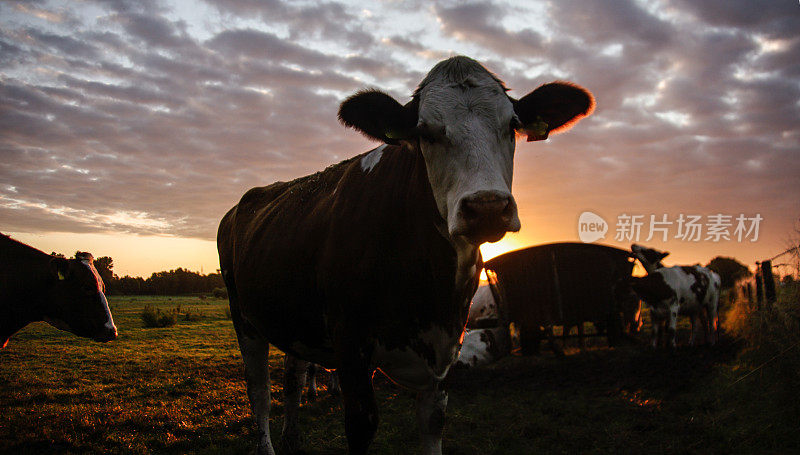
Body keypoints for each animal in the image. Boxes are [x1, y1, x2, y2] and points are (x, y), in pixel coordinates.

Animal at [216, 55, 592, 454]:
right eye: (425, 132)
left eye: (512, 126)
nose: (487, 207)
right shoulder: (351, 344)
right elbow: (361, 424)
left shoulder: (445, 351)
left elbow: (433, 422)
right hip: (244, 317)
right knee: (259, 392)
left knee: (293, 377)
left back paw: (293, 435)